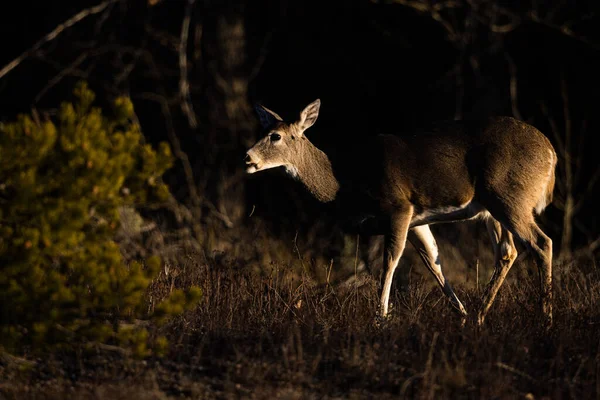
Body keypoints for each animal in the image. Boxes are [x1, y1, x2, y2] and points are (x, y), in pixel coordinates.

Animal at [244, 99, 556, 324]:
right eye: (262, 132)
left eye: (275, 136)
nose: (247, 157)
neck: (345, 183)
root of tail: (552, 156)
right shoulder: (417, 219)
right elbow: (433, 261)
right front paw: (462, 315)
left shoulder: (398, 206)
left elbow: (390, 262)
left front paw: (380, 317)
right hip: (492, 209)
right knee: (507, 251)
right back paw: (481, 316)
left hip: (509, 196)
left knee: (541, 242)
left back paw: (546, 319)